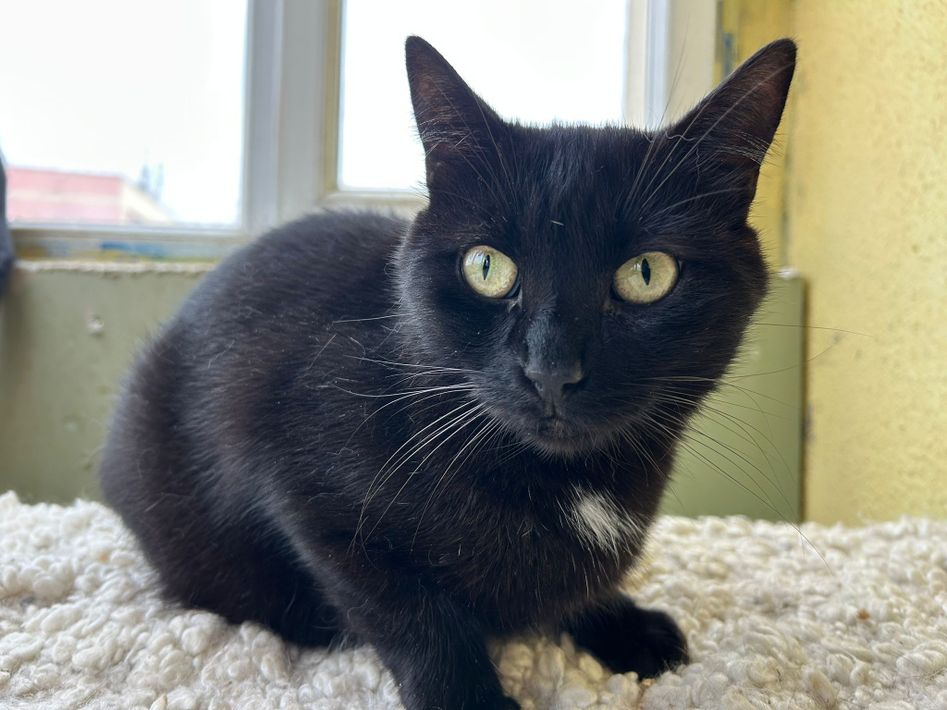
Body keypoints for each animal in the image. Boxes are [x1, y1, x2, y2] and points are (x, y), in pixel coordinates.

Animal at [100, 36, 795, 710]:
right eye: (486, 268)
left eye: (647, 273)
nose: (550, 368)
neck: (565, 479)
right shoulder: (313, 497)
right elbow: (414, 615)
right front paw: (469, 697)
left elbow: (571, 584)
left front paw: (622, 623)